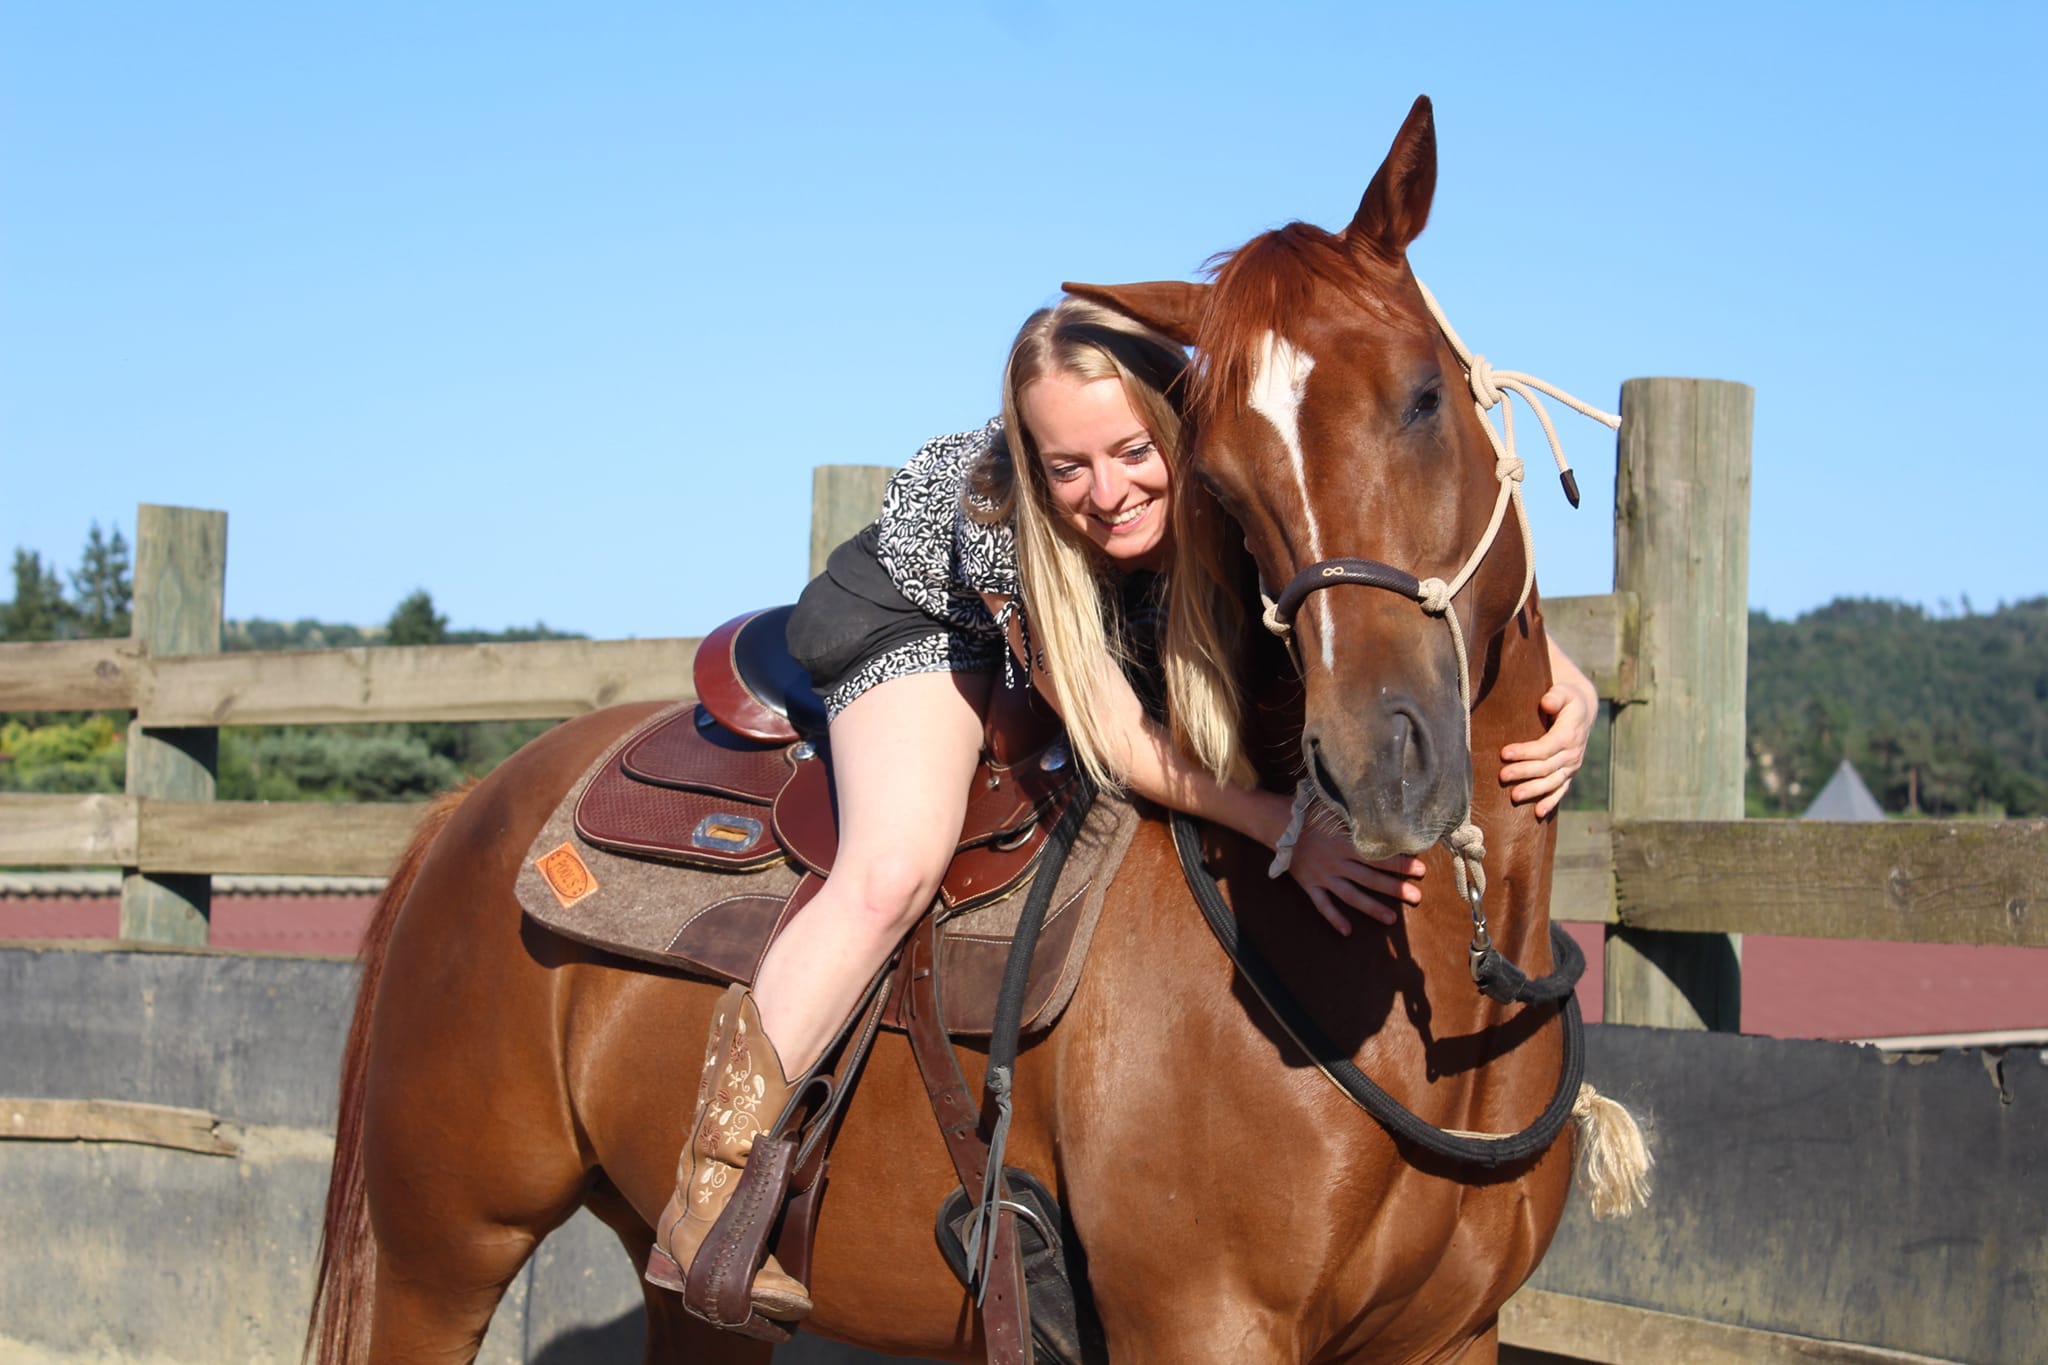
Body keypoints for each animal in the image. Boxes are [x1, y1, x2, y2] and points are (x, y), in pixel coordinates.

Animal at [311, 101, 1638, 1365]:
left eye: (1420, 395)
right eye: (1222, 476)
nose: (1373, 767)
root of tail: (474, 807)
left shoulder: (1448, 1336)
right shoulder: (1202, 1325)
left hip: (684, 1299)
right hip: (444, 1253)